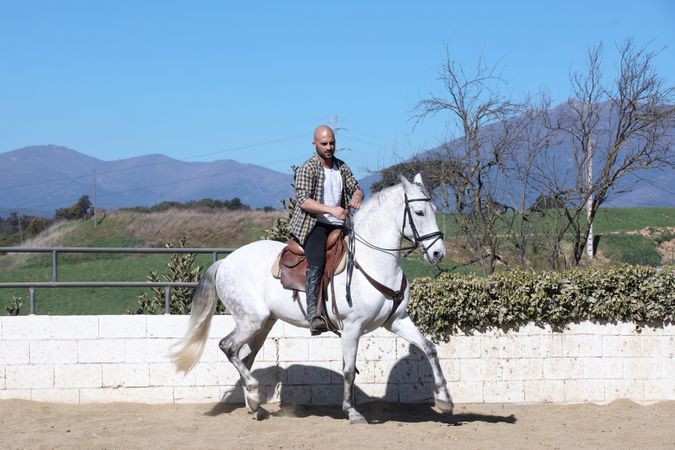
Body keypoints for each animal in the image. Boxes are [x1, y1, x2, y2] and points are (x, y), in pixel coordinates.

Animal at [169, 174, 454, 424]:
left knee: (245, 356)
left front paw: (445, 400)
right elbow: (348, 370)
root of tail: (226, 261)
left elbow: (429, 348)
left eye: (434, 209)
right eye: (419, 213)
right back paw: (253, 393)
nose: (438, 253)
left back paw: (254, 405)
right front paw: (352, 412)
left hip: (264, 324)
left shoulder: (397, 320)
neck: (373, 261)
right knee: (228, 347)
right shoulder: (352, 328)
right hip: (251, 321)